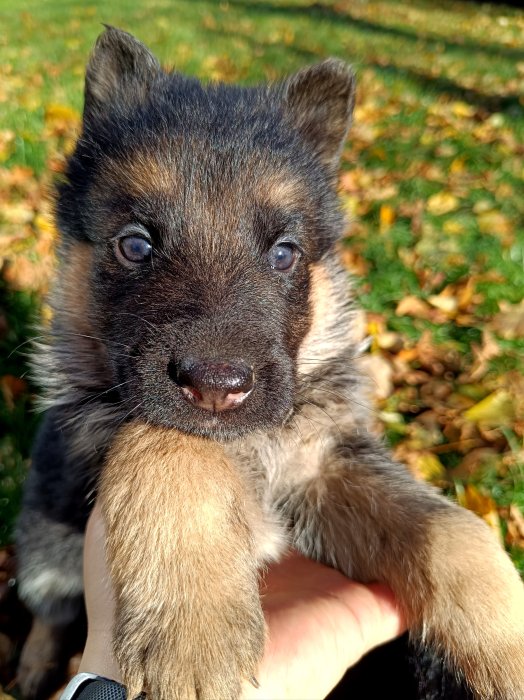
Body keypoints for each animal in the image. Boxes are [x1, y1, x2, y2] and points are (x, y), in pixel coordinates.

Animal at [16, 26, 524, 700]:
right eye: (135, 245)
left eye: (284, 253)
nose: (218, 387)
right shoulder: (91, 430)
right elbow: (169, 445)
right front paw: (192, 629)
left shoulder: (322, 462)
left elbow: (453, 528)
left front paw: (504, 645)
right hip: (43, 541)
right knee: (48, 608)